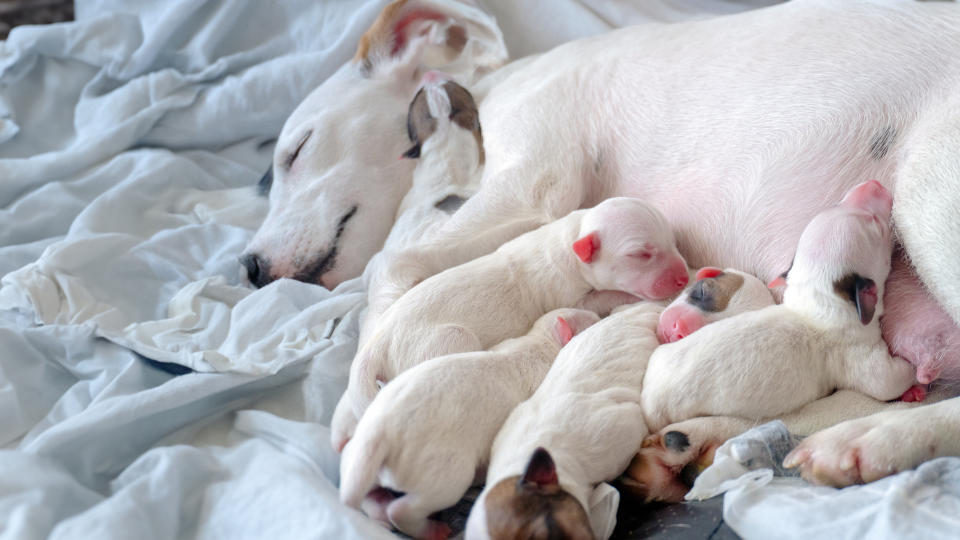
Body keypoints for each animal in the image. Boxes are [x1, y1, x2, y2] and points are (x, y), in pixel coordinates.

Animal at [332, 196, 688, 450]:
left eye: (673, 240)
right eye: (640, 254)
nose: (684, 277)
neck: (572, 238)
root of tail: (376, 344)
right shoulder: (565, 293)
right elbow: (599, 299)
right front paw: (625, 296)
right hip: (443, 341)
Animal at [340, 308, 600, 540]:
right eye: (594, 320)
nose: (602, 315)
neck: (541, 340)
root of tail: (380, 433)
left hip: (361, 457)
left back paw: (377, 509)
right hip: (442, 470)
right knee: (405, 509)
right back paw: (431, 530)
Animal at [640, 179, 920, 432]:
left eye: (836, 203)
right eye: (876, 225)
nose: (874, 183)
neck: (815, 298)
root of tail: (650, 404)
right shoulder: (855, 352)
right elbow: (886, 381)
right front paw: (918, 373)